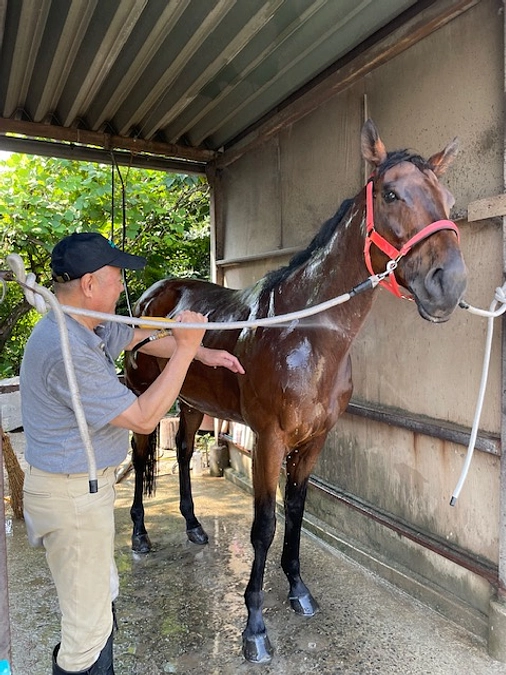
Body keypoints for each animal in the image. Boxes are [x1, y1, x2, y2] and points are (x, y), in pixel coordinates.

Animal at [124, 119, 468, 663]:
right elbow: (264, 525)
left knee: (181, 450)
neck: (303, 334)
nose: (448, 285)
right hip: (145, 401)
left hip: (193, 403)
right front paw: (254, 627)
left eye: (448, 198)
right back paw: (138, 535)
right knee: (141, 459)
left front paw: (298, 590)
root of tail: (151, 296)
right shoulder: (269, 440)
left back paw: (194, 526)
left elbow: (298, 512)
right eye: (391, 193)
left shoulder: (314, 442)